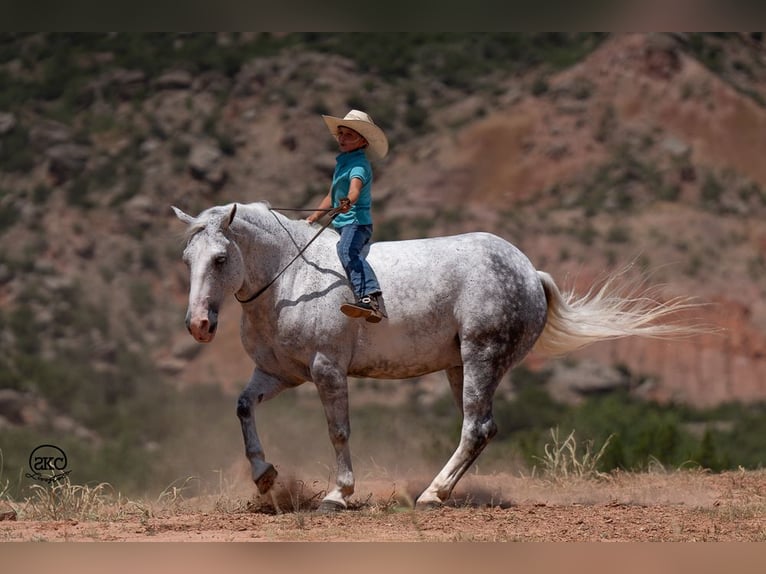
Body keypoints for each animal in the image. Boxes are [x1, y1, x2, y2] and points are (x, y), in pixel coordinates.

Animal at [174, 202, 704, 512]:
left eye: (220, 258)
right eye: (187, 259)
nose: (198, 325)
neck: (289, 280)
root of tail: (530, 273)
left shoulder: (328, 370)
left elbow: (338, 431)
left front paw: (338, 494)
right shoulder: (278, 373)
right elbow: (243, 407)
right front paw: (264, 478)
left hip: (481, 357)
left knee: (475, 426)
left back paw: (432, 493)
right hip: (458, 368)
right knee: (483, 427)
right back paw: (439, 490)